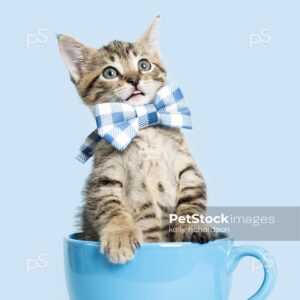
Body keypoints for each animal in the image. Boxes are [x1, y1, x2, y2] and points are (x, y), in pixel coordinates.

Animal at [56, 17, 216, 264]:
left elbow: (192, 201)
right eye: (110, 72)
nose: (134, 79)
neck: (142, 124)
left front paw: (192, 226)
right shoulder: (104, 177)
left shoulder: (186, 167)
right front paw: (120, 235)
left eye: (144, 65)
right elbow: (109, 207)